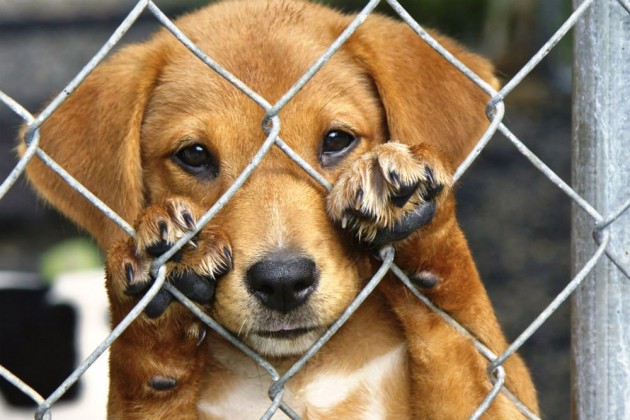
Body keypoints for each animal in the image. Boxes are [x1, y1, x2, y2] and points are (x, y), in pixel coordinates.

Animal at [22, 0, 540, 416]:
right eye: (194, 154)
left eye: (337, 140)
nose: (283, 282)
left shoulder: (500, 391)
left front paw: (415, 214)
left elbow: (460, 334)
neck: (299, 374)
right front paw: (159, 302)